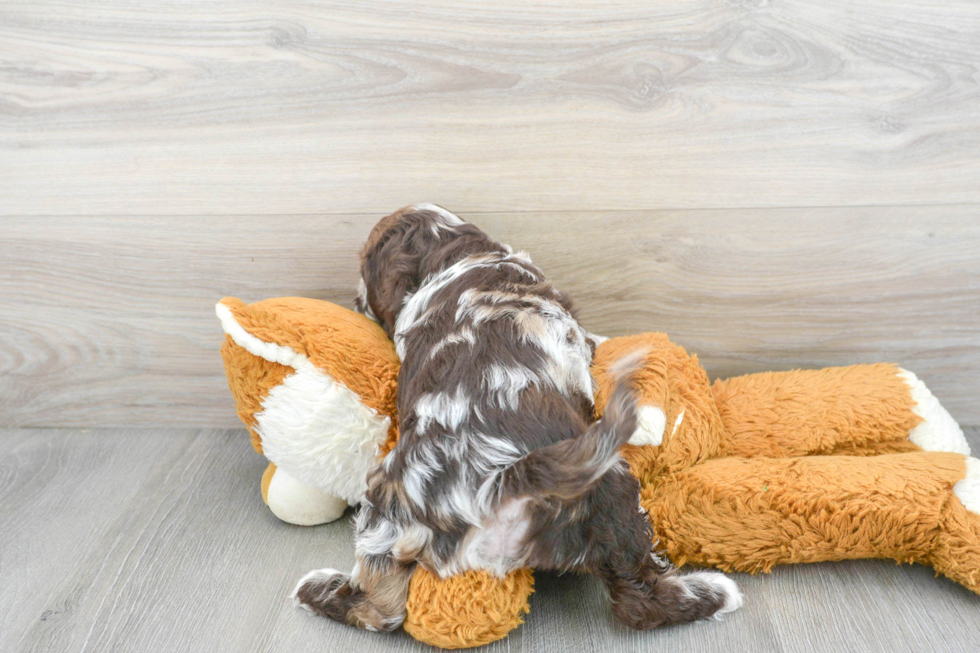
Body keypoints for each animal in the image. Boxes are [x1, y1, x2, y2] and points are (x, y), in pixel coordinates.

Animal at [294, 204, 740, 632]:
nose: (356, 303)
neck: (453, 257)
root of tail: (488, 489)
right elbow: (597, 345)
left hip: (384, 517)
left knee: (377, 608)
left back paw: (313, 588)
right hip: (608, 491)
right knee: (639, 599)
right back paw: (714, 593)